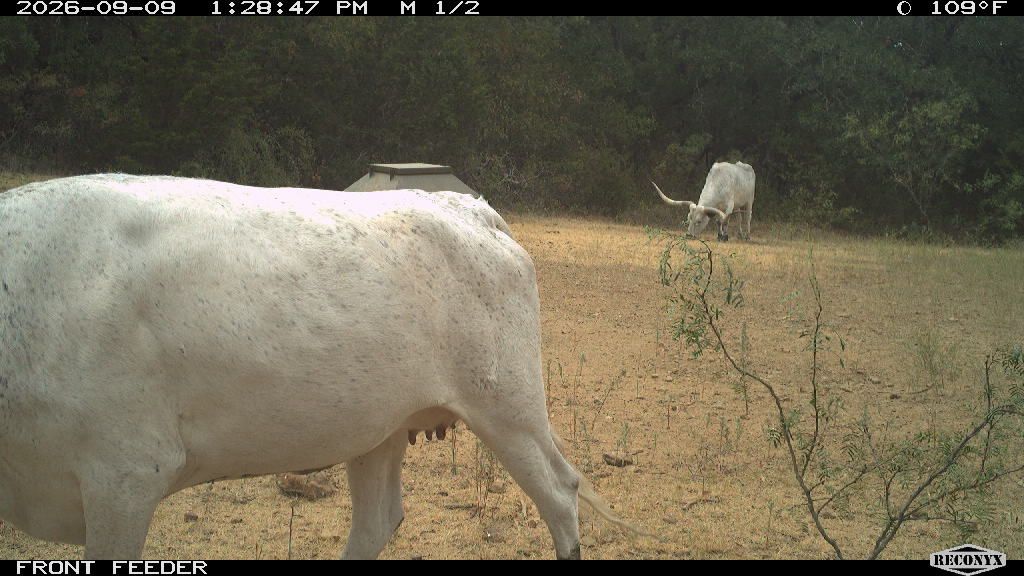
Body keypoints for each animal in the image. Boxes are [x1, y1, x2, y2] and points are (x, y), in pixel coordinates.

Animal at [0, 174, 632, 560]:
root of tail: (466, 207)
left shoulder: (125, 474)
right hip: (379, 424)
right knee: (378, 519)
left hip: (508, 407)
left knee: (560, 493)